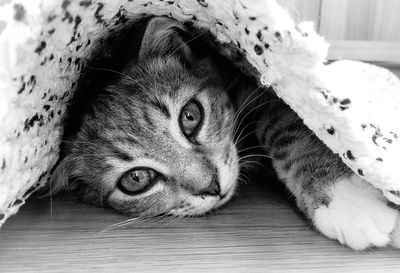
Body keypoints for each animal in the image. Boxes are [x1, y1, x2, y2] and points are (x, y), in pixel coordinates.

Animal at [52, 16, 396, 249]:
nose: (212, 187)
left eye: (190, 116)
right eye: (136, 179)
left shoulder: (261, 85)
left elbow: (286, 125)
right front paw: (348, 204)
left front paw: (346, 200)